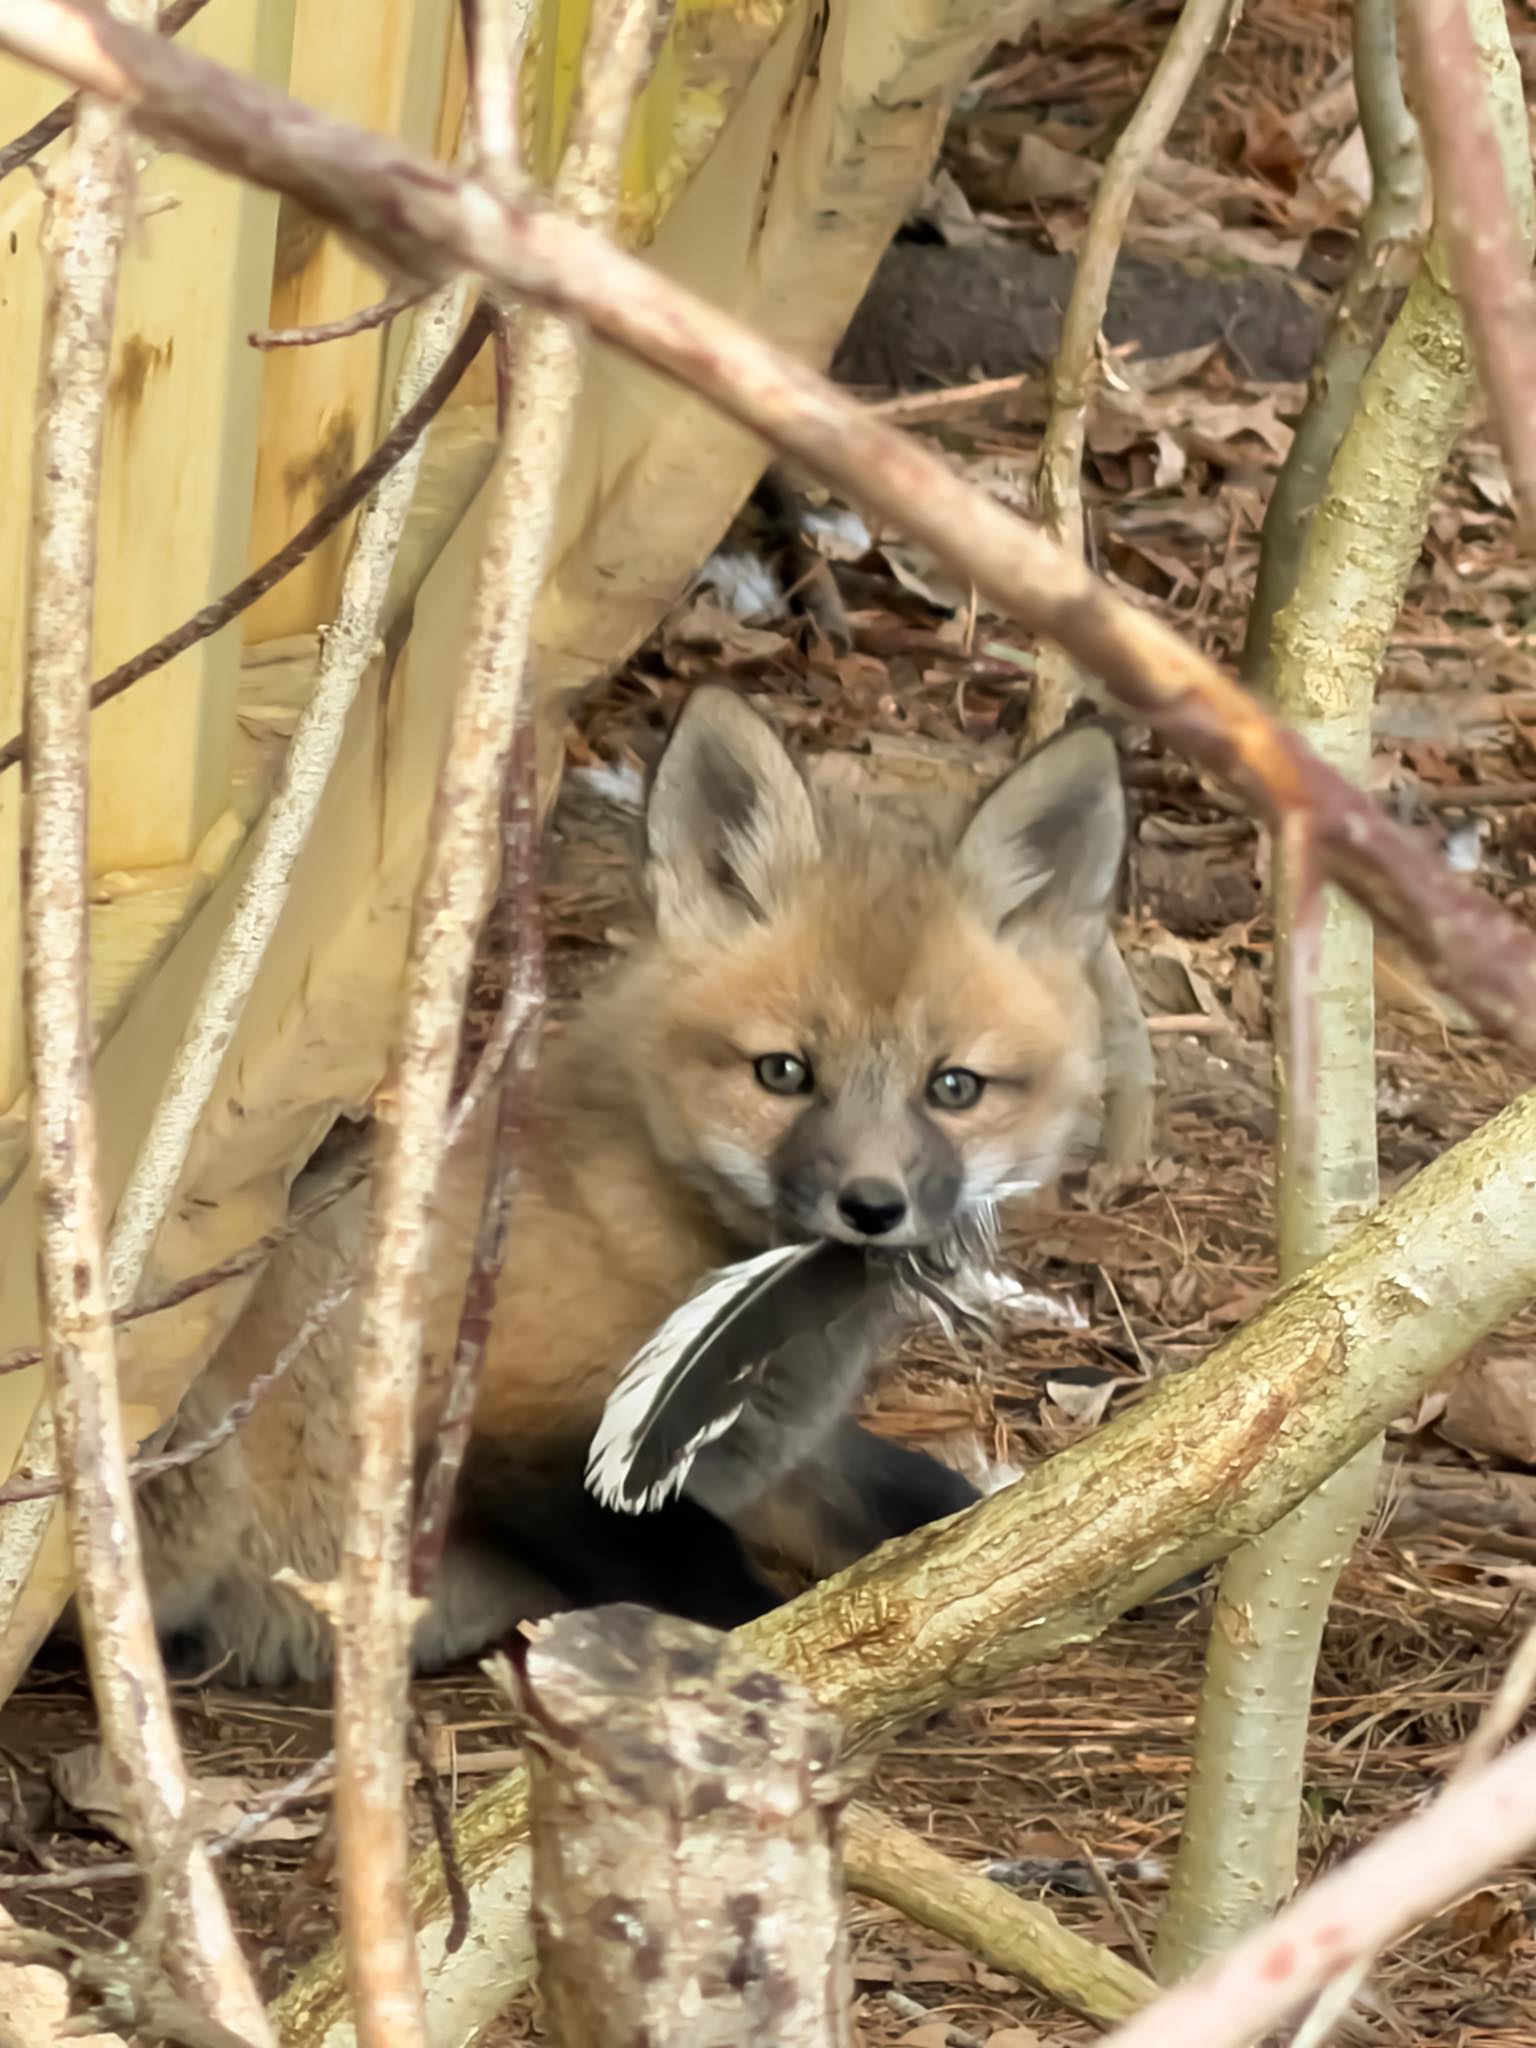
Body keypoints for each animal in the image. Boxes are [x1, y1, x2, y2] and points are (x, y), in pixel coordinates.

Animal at [133, 686, 1128, 1686]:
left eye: (953, 1087)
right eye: (784, 1073)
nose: (872, 1207)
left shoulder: (773, 1461)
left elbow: (939, 1501)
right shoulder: (523, 1439)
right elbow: (732, 1602)